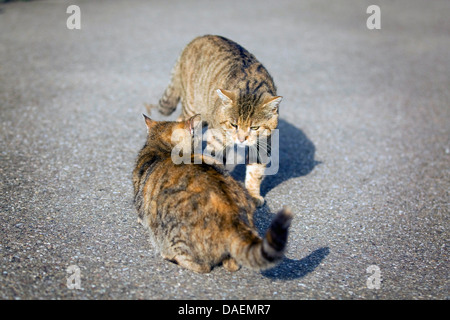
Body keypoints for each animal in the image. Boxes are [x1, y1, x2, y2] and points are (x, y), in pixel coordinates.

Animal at [148, 33, 282, 206]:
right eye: (233, 124)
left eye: (254, 128)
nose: (241, 139)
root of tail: (198, 38)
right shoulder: (217, 140)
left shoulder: (263, 143)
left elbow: (255, 171)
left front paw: (253, 194)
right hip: (193, 109)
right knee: (183, 122)